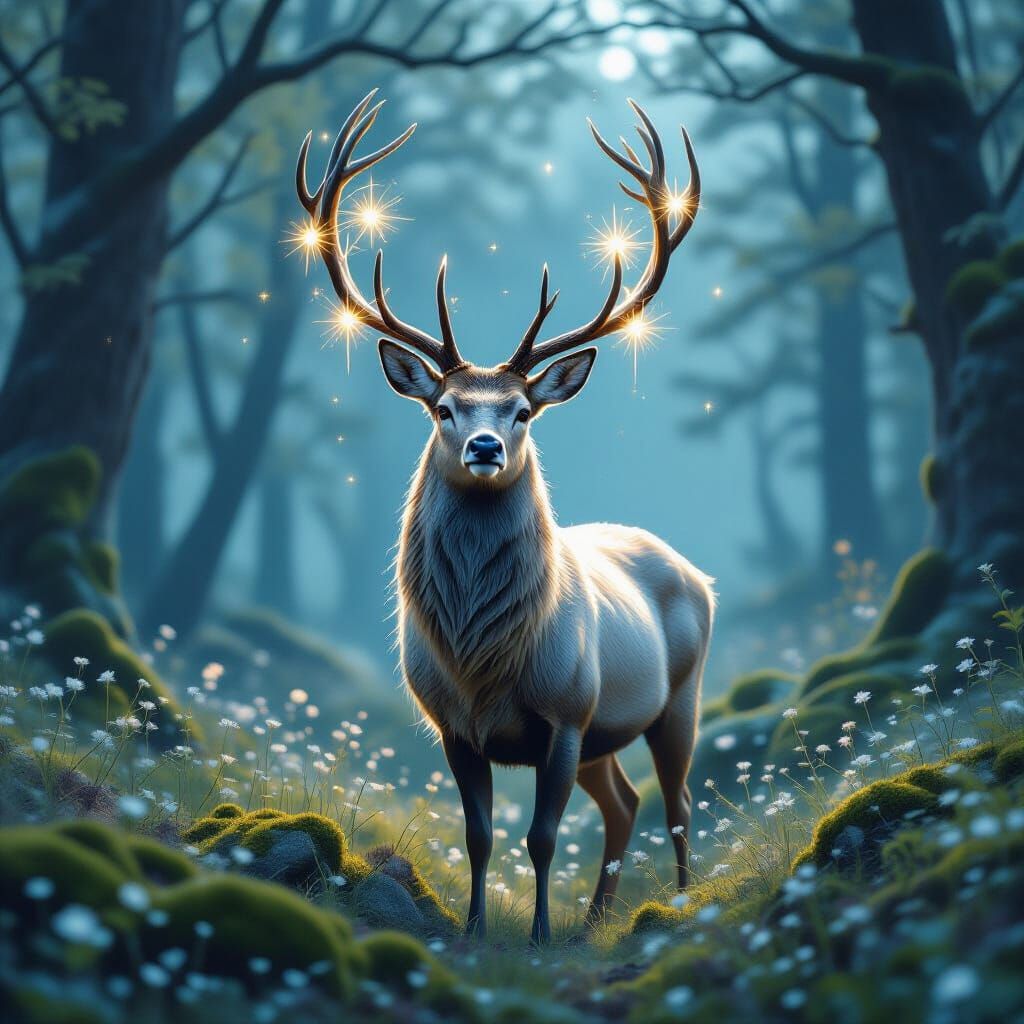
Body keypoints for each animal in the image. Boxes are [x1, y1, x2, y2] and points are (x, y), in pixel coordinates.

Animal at [297, 90, 714, 945]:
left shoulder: (565, 712)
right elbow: (480, 834)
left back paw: (674, 905)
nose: (486, 445)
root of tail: (698, 575)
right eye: (445, 408)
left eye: (523, 410)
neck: (482, 661)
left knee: (678, 802)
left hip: (678, 698)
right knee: (624, 803)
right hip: (605, 737)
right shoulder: (454, 725)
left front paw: (539, 936)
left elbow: (542, 835)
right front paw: (475, 932)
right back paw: (595, 923)